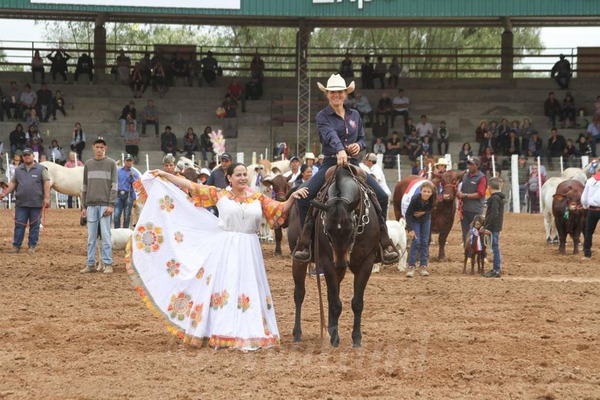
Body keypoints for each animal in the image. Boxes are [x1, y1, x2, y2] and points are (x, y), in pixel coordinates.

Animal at [290, 166, 376, 346]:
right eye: (327, 231)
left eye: (351, 229)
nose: (342, 262)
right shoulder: (328, 262)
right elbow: (336, 303)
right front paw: (335, 339)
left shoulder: (367, 262)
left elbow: (357, 302)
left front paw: (356, 338)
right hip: (299, 260)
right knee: (299, 294)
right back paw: (297, 334)